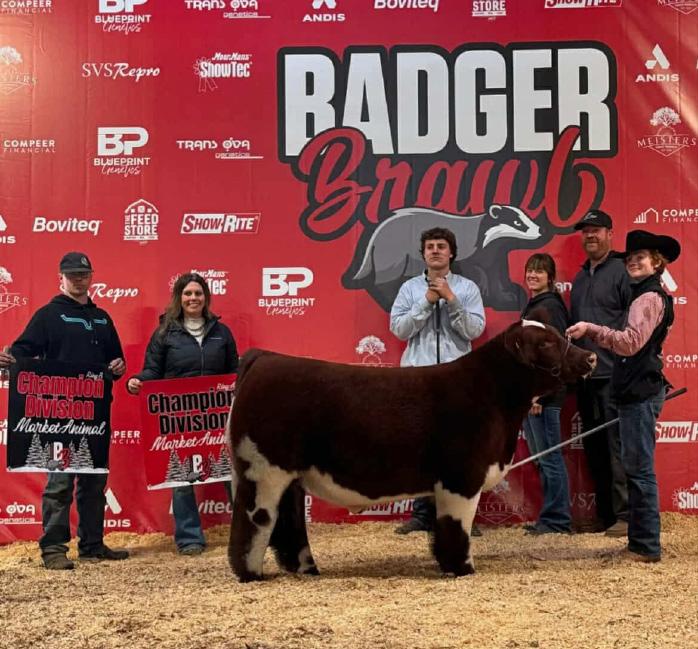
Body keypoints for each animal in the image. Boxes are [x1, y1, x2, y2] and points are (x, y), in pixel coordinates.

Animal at [227, 319, 596, 581]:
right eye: (545, 343)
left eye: (557, 334)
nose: (590, 356)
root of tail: (265, 358)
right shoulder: (461, 477)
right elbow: (456, 526)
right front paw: (463, 568)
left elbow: (440, 527)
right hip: (263, 471)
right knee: (255, 520)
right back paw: (250, 574)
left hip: (290, 476)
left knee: (289, 524)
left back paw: (307, 569)